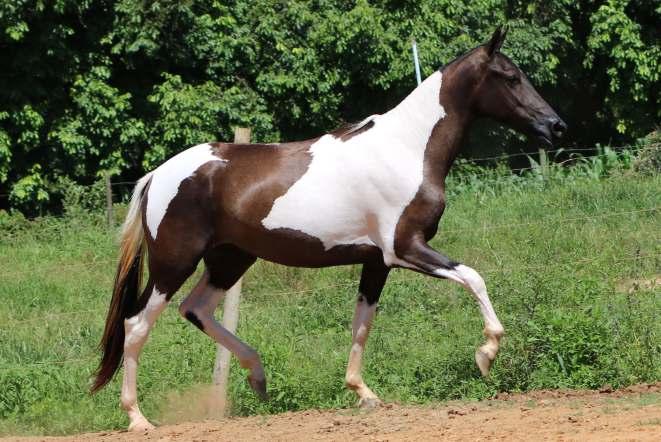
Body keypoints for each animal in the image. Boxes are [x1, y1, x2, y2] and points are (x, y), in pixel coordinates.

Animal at [91, 28, 568, 432]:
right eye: (510, 77)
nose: (556, 126)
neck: (407, 149)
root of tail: (156, 175)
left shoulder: (377, 262)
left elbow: (362, 322)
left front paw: (363, 393)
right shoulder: (405, 248)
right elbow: (473, 277)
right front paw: (486, 355)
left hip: (230, 259)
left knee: (197, 310)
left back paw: (259, 377)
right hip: (174, 262)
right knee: (137, 324)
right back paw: (138, 419)